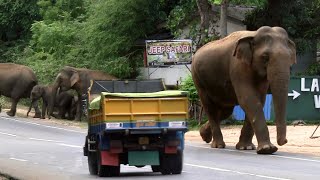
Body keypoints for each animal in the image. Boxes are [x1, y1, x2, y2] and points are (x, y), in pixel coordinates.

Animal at [191, 26, 296, 154]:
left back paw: (204, 136)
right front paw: (267, 149)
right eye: (265, 57)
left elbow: (259, 100)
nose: (284, 141)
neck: (253, 34)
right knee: (210, 107)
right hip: (198, 79)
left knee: (225, 111)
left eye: (290, 58)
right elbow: (248, 99)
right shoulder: (238, 66)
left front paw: (246, 148)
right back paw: (218, 145)